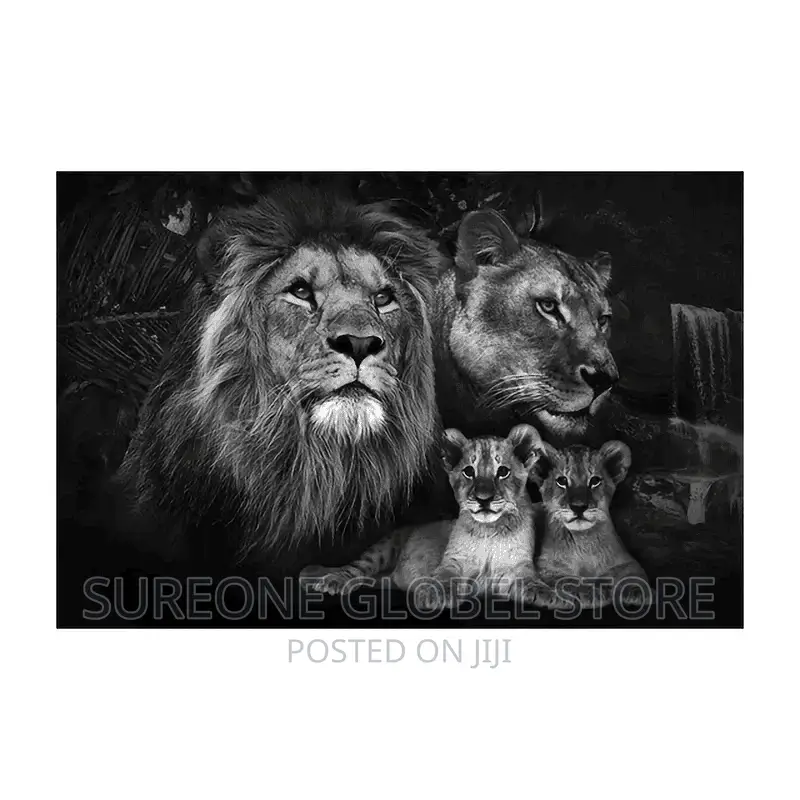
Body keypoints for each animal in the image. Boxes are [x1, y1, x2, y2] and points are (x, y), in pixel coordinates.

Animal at [300, 424, 555, 608]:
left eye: (503, 472)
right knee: (356, 568)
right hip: (382, 548)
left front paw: (549, 595)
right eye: (468, 471)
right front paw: (430, 593)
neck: (489, 531)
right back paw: (330, 579)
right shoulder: (452, 562)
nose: (484, 499)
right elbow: (442, 577)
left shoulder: (517, 567)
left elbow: (531, 582)